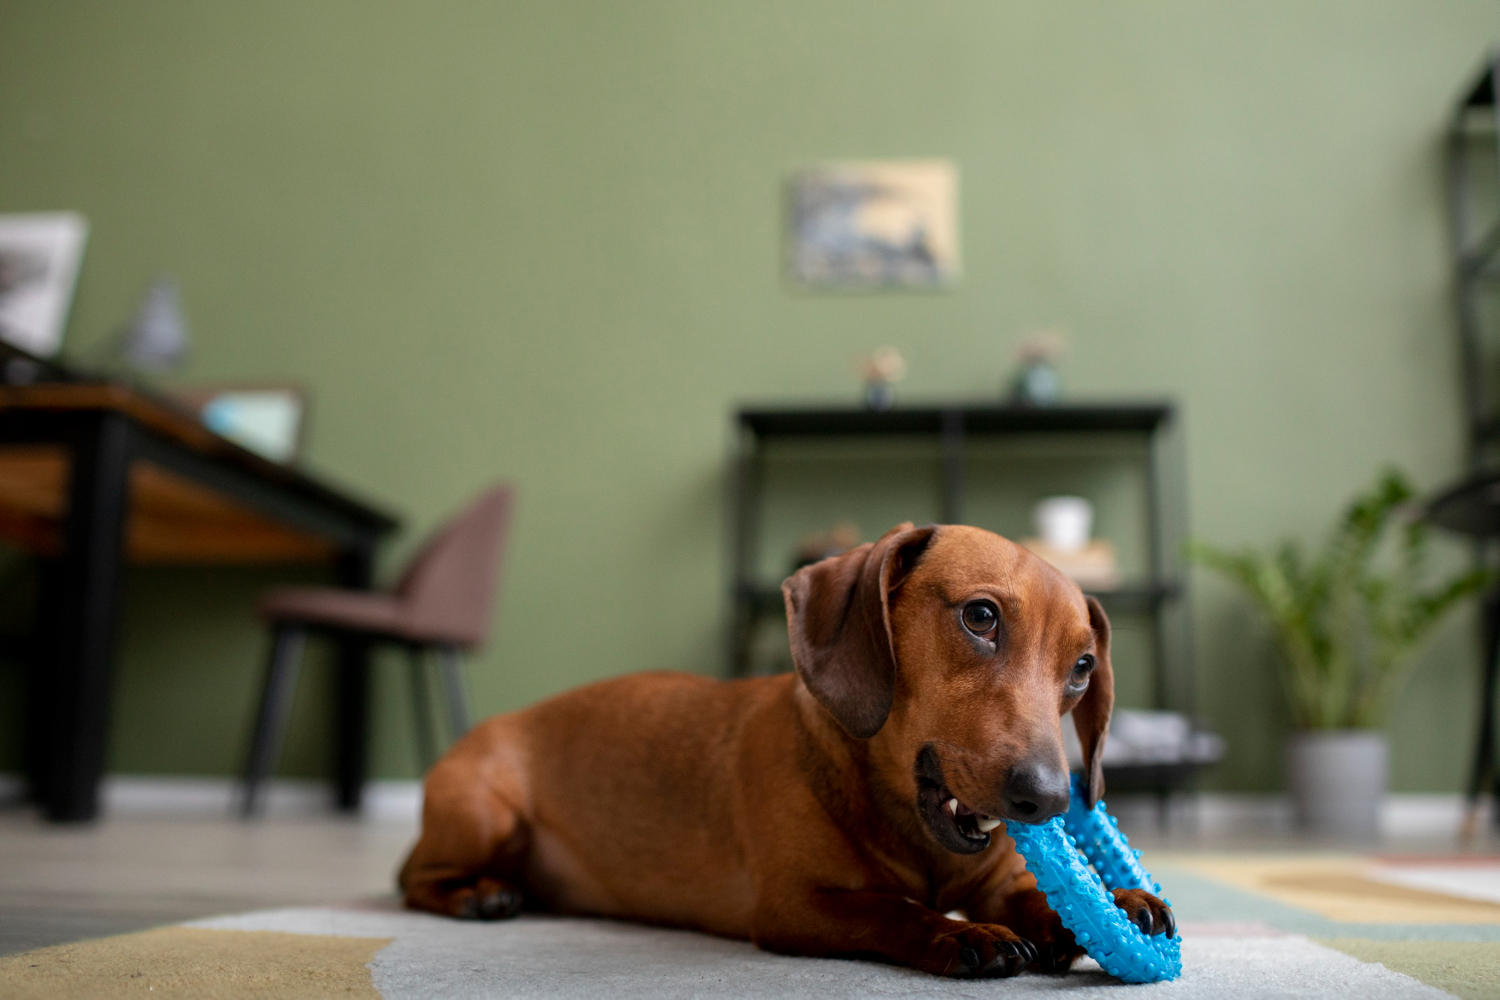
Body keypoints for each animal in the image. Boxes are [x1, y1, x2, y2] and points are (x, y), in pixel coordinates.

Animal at [405, 527, 1176, 983]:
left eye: (1082, 666)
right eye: (980, 616)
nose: (1047, 799)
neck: (905, 820)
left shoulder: (995, 879)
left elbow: (1040, 898)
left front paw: (1122, 901)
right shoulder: (795, 905)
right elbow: (892, 909)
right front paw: (965, 936)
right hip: (486, 815)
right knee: (412, 879)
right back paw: (479, 894)